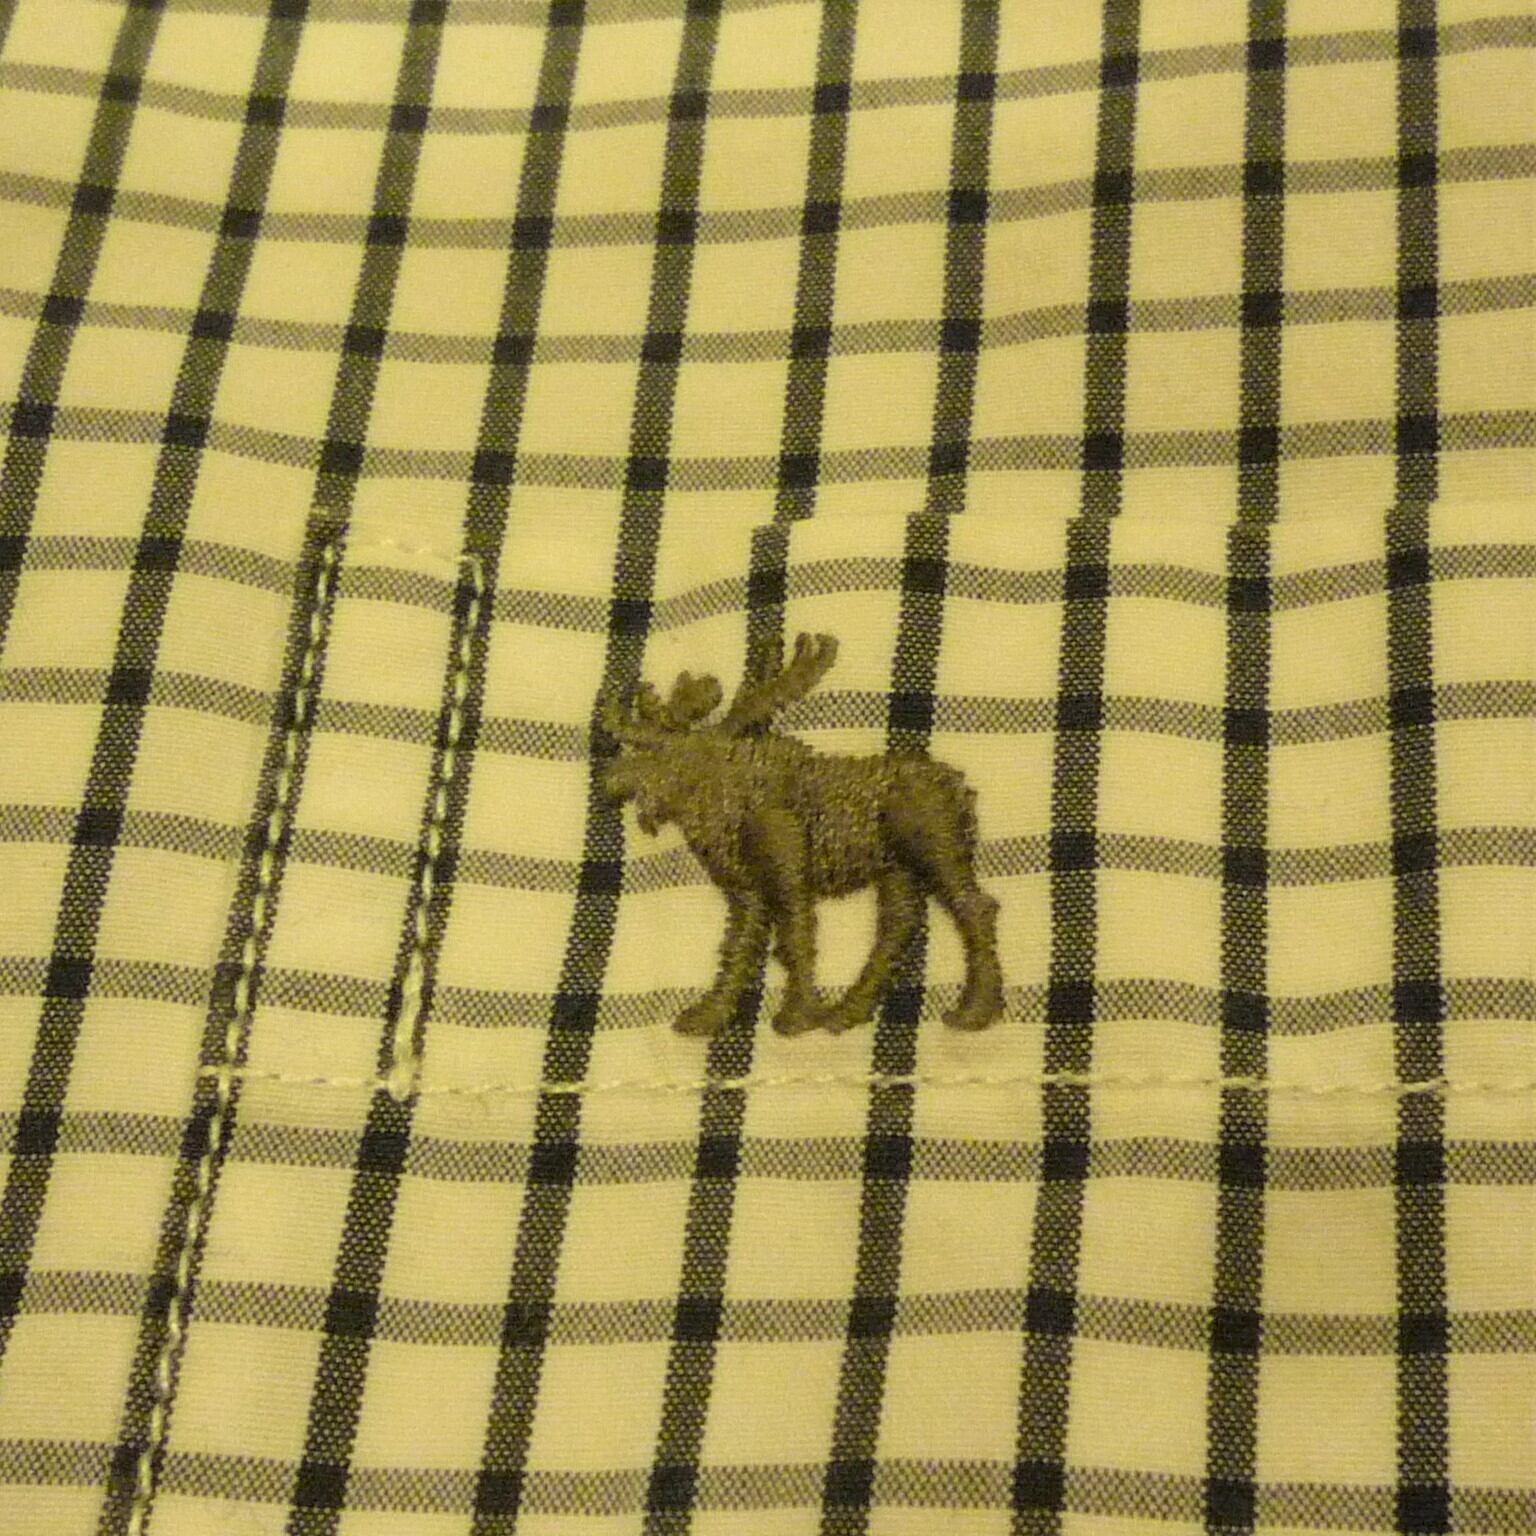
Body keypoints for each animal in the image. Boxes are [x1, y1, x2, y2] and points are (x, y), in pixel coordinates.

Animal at [599, 633, 1004, 1037]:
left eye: (666, 751)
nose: (610, 779)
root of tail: (962, 789)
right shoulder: (746, 890)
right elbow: (737, 946)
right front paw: (709, 1016)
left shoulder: (787, 873)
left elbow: (796, 936)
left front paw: (797, 1015)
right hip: (896, 869)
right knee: (897, 927)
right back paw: (849, 1011)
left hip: (937, 849)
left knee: (974, 907)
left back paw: (975, 1010)